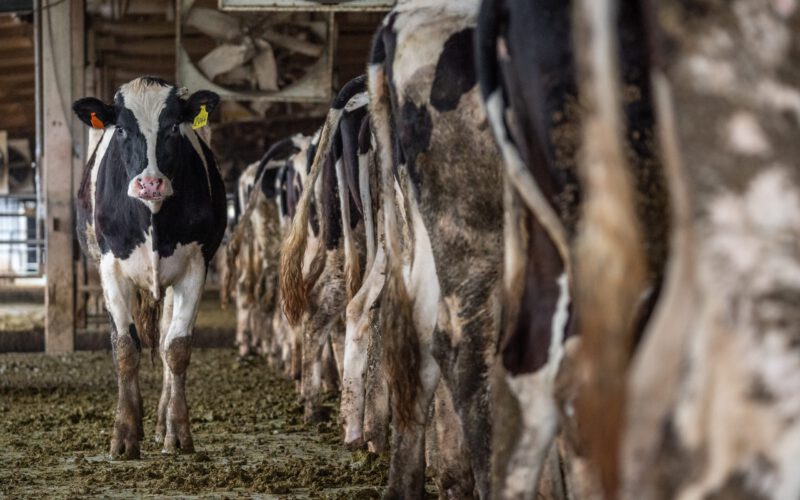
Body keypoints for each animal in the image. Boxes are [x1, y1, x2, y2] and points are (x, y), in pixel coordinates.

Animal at [72, 76, 225, 458]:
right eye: (122, 130)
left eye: (173, 127)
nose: (150, 183)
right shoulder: (111, 268)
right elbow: (126, 348)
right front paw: (124, 435)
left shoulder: (195, 266)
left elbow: (177, 347)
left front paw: (178, 432)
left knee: (166, 335)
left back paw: (159, 422)